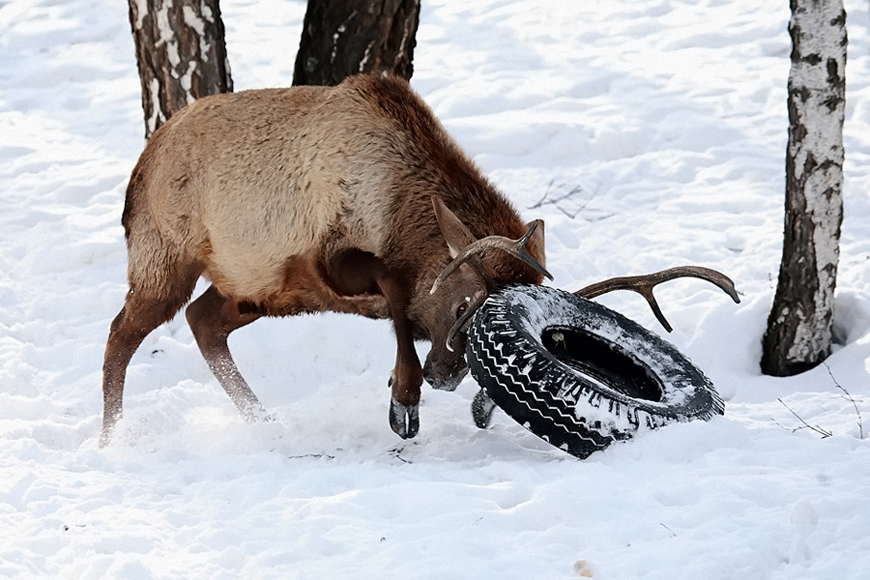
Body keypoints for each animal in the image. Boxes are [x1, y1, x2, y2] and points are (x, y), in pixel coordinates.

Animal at [102, 72, 744, 444]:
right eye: (462, 305)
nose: (447, 375)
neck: (400, 206)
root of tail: (138, 169)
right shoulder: (328, 258)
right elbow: (394, 295)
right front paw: (404, 399)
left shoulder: (304, 279)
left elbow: (396, 307)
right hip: (167, 257)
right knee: (120, 335)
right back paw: (111, 440)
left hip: (254, 289)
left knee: (203, 322)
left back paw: (265, 422)